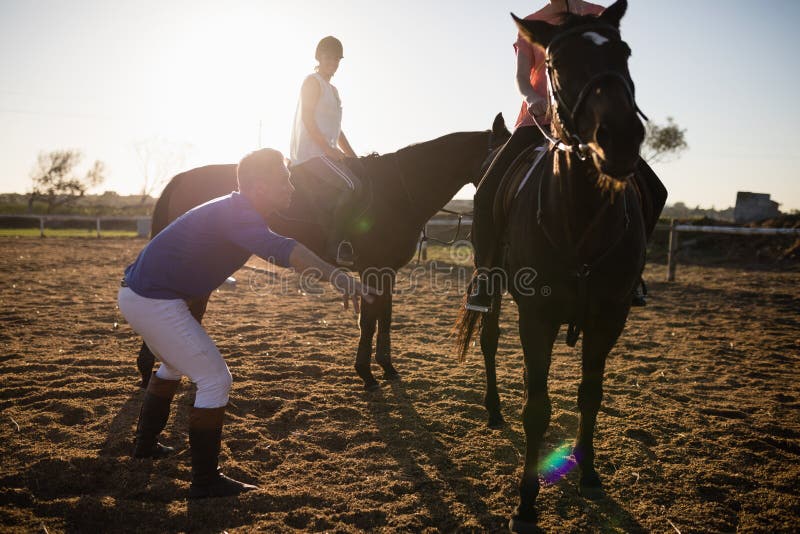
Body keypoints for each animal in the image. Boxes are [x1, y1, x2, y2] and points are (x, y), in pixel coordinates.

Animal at [135, 114, 511, 392]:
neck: (398, 192)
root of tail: (182, 177)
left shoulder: (387, 272)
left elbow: (385, 318)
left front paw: (387, 367)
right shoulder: (372, 270)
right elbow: (369, 321)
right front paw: (366, 374)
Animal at [455, 2, 661, 531]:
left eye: (624, 52)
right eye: (556, 63)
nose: (621, 137)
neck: (582, 216)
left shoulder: (609, 317)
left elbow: (590, 395)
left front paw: (588, 474)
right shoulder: (537, 317)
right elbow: (537, 409)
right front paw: (526, 505)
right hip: (492, 281)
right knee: (489, 340)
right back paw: (493, 410)